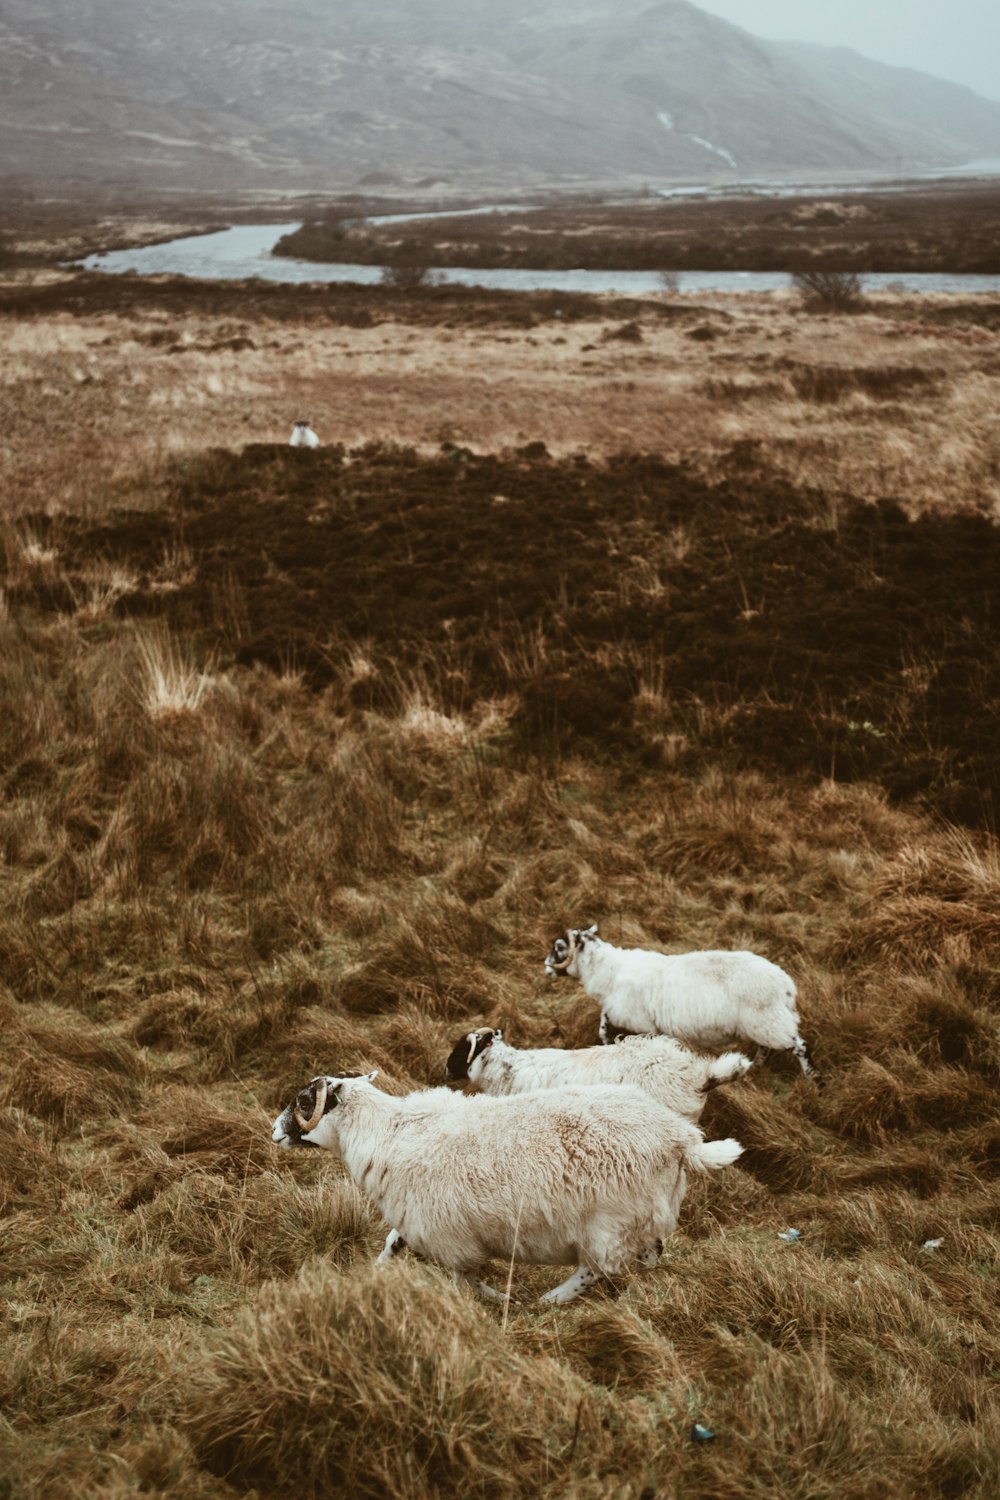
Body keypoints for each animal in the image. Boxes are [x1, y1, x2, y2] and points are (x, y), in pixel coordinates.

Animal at [274, 1068, 743, 1302]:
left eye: (303, 1100)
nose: (274, 1131)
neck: (388, 1133)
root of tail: (681, 1138)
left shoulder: (450, 1237)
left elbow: (463, 1281)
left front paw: (499, 1301)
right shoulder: (419, 1221)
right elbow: (391, 1245)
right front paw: (372, 1276)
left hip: (608, 1222)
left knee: (595, 1270)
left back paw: (550, 1300)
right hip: (644, 1216)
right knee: (649, 1255)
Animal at [548, 918, 821, 1086]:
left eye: (559, 946)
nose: (546, 969)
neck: (608, 971)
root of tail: (787, 986)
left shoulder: (641, 1024)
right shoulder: (615, 1011)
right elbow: (603, 1028)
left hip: (770, 1021)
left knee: (801, 1046)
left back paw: (814, 1081)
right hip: (764, 1023)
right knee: (766, 1047)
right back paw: (754, 1068)